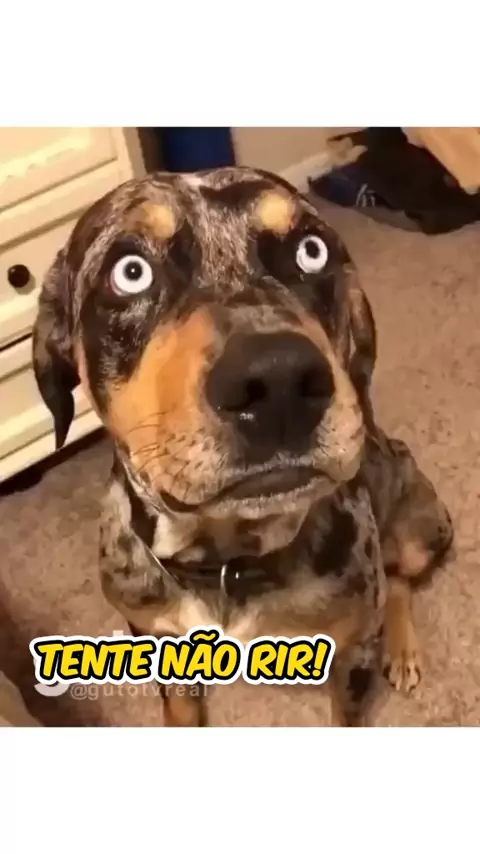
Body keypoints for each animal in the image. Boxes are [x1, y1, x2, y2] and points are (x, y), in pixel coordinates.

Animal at [32, 166, 453, 726]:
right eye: (130, 271)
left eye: (311, 250)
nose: (278, 380)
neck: (225, 558)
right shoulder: (152, 631)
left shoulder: (352, 648)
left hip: (423, 526)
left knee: (399, 578)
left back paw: (402, 647)